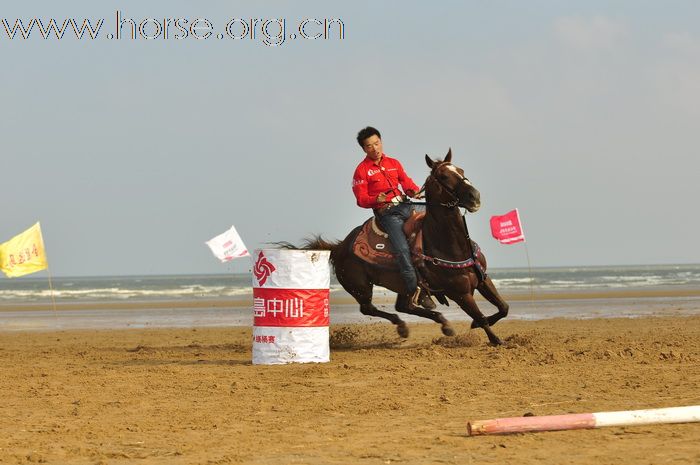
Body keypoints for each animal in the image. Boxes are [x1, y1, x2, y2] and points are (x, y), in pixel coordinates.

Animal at [290, 150, 508, 344]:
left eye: (461, 170)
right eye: (444, 176)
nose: (474, 196)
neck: (451, 246)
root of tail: (340, 247)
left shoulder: (483, 280)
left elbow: (503, 308)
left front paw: (479, 324)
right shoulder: (459, 293)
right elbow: (481, 317)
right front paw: (494, 338)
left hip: (402, 285)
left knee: (404, 307)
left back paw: (441, 323)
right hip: (360, 287)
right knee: (369, 309)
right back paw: (404, 326)